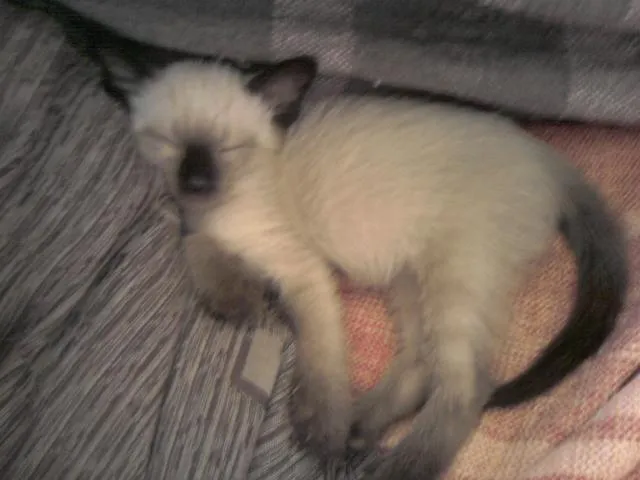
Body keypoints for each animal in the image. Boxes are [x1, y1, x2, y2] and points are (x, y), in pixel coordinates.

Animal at [96, 54, 627, 480]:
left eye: (228, 147)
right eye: (167, 141)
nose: (196, 180)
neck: (226, 205)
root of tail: (547, 157)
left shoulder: (302, 272)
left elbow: (322, 363)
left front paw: (321, 432)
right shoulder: (197, 224)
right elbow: (196, 246)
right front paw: (235, 301)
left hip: (453, 274)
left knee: (468, 386)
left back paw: (396, 464)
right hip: (409, 279)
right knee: (421, 361)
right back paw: (361, 426)